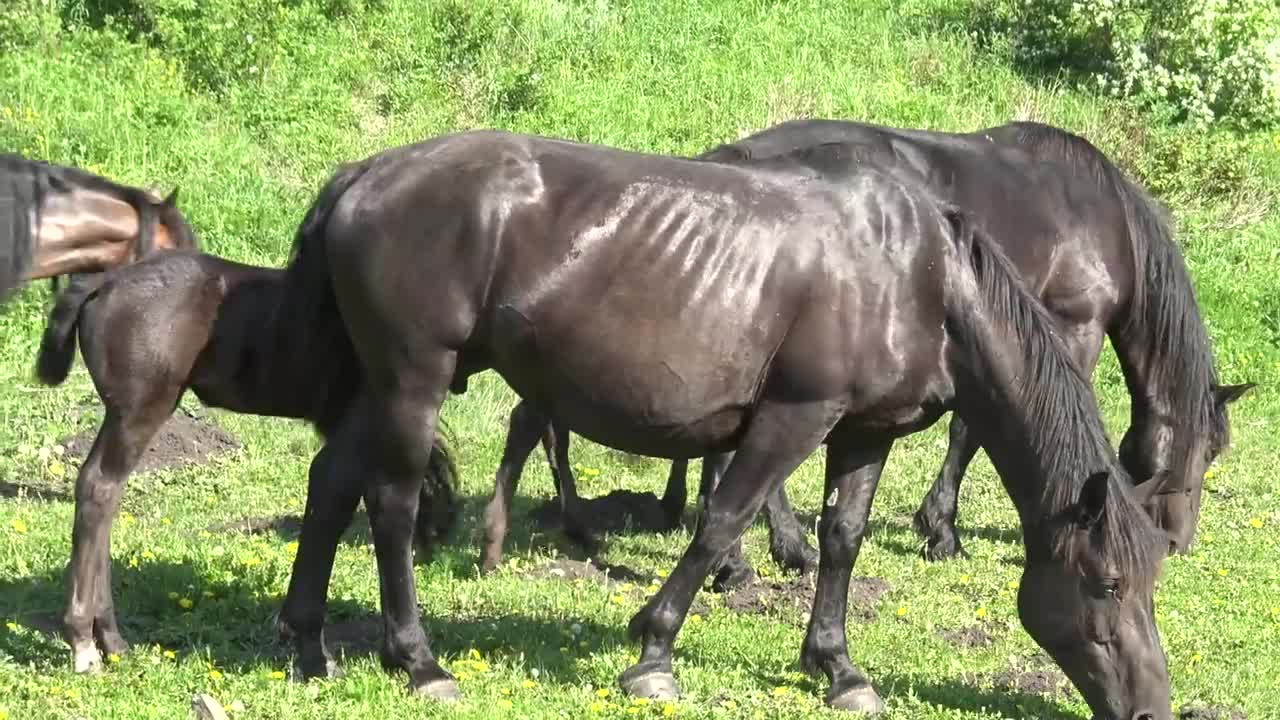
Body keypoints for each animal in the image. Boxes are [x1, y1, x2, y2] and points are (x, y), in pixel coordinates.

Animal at [32, 249, 463, 671]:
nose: (432, 549)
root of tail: (105, 280)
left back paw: (112, 640)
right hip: (139, 411)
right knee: (98, 487)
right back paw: (84, 642)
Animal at [275, 130, 1172, 717]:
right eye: (1108, 584)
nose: (1152, 707)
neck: (917, 276)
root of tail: (365, 175)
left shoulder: (864, 431)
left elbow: (843, 538)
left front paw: (838, 668)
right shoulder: (795, 416)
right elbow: (721, 520)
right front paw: (654, 653)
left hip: (382, 384)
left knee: (330, 487)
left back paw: (309, 645)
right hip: (414, 378)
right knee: (390, 504)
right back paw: (419, 661)